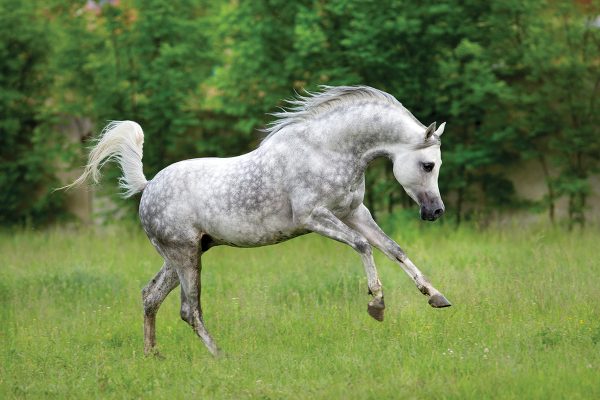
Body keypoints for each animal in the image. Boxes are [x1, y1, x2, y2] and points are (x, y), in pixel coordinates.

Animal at [65, 86, 450, 354]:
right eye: (428, 164)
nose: (435, 212)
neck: (327, 150)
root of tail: (147, 187)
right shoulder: (315, 217)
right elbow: (362, 247)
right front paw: (377, 305)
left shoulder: (354, 213)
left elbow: (394, 249)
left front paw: (436, 296)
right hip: (186, 256)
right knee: (190, 310)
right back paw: (220, 357)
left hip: (182, 256)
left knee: (150, 297)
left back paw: (152, 355)